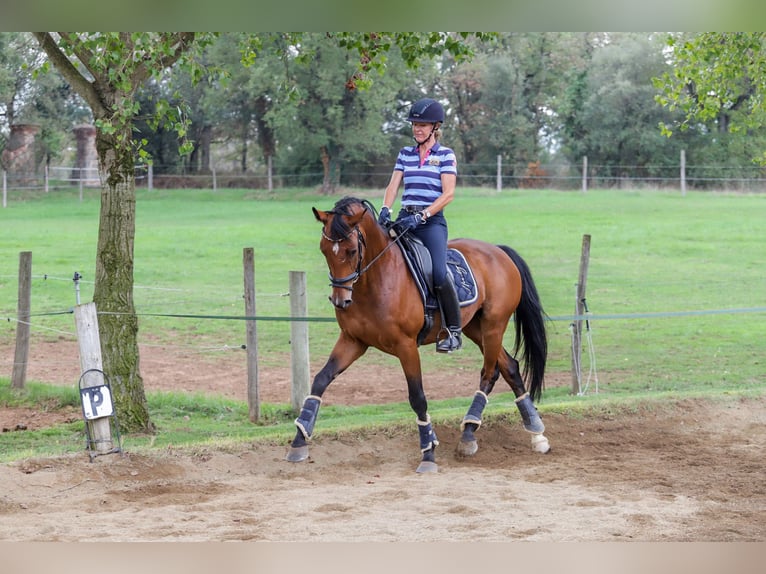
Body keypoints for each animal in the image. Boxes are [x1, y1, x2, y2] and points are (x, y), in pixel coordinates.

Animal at [288, 196, 552, 474]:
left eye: (351, 250)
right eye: (324, 250)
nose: (340, 301)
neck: (377, 279)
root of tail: (498, 251)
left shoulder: (406, 346)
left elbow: (418, 398)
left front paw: (428, 453)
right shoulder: (353, 341)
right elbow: (320, 380)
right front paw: (299, 441)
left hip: (494, 325)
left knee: (489, 372)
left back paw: (474, 433)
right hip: (475, 328)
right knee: (509, 367)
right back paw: (532, 433)